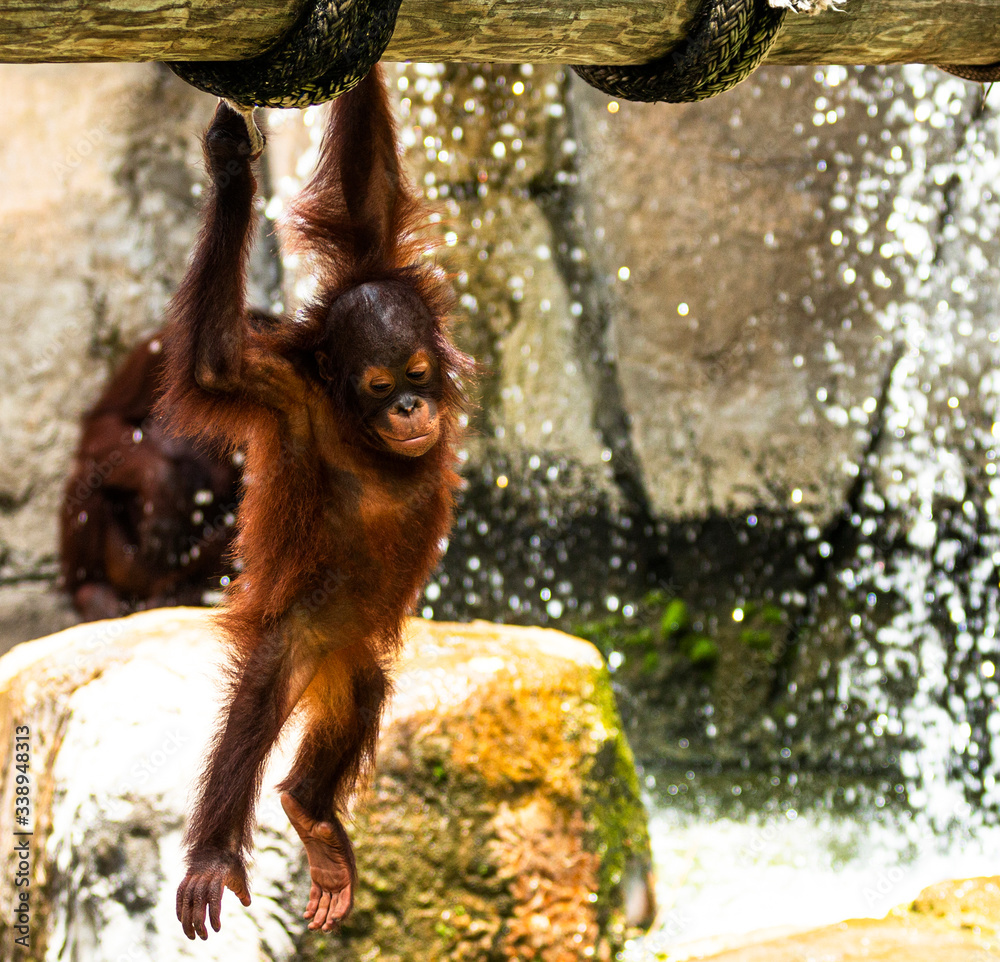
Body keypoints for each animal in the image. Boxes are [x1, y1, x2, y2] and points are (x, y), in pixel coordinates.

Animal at [157, 64, 473, 939]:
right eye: (380, 386)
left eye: (418, 373)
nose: (411, 408)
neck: (358, 429)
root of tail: (326, 656)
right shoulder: (288, 398)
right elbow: (215, 366)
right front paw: (232, 171)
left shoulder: (377, 260)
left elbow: (368, 194)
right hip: (294, 627)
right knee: (260, 696)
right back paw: (214, 855)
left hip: (351, 651)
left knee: (363, 694)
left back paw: (312, 815)